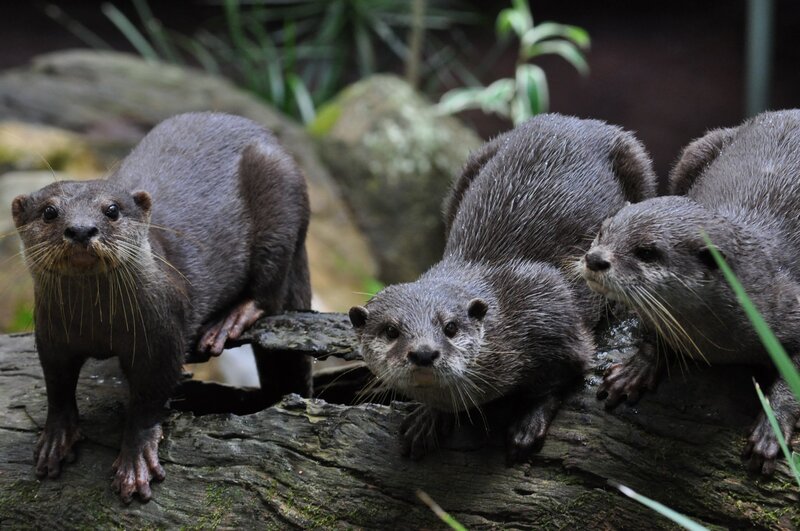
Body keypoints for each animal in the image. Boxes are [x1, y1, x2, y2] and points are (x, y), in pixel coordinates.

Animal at [11, 112, 312, 502]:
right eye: (49, 212)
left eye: (112, 210)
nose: (81, 229)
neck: (97, 325)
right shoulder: (50, 334)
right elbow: (56, 384)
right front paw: (55, 438)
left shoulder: (163, 333)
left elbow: (151, 395)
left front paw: (135, 459)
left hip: (280, 195)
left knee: (269, 289)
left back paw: (227, 322)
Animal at [350, 114, 658, 462]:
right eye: (391, 331)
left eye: (451, 327)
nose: (424, 352)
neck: (509, 315)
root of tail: (580, 120)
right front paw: (429, 417)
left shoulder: (552, 311)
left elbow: (564, 375)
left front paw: (528, 424)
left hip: (636, 162)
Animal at [582, 109, 800, 475]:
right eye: (602, 231)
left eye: (646, 251)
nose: (595, 259)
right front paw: (635, 370)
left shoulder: (791, 304)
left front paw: (772, 432)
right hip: (696, 150)